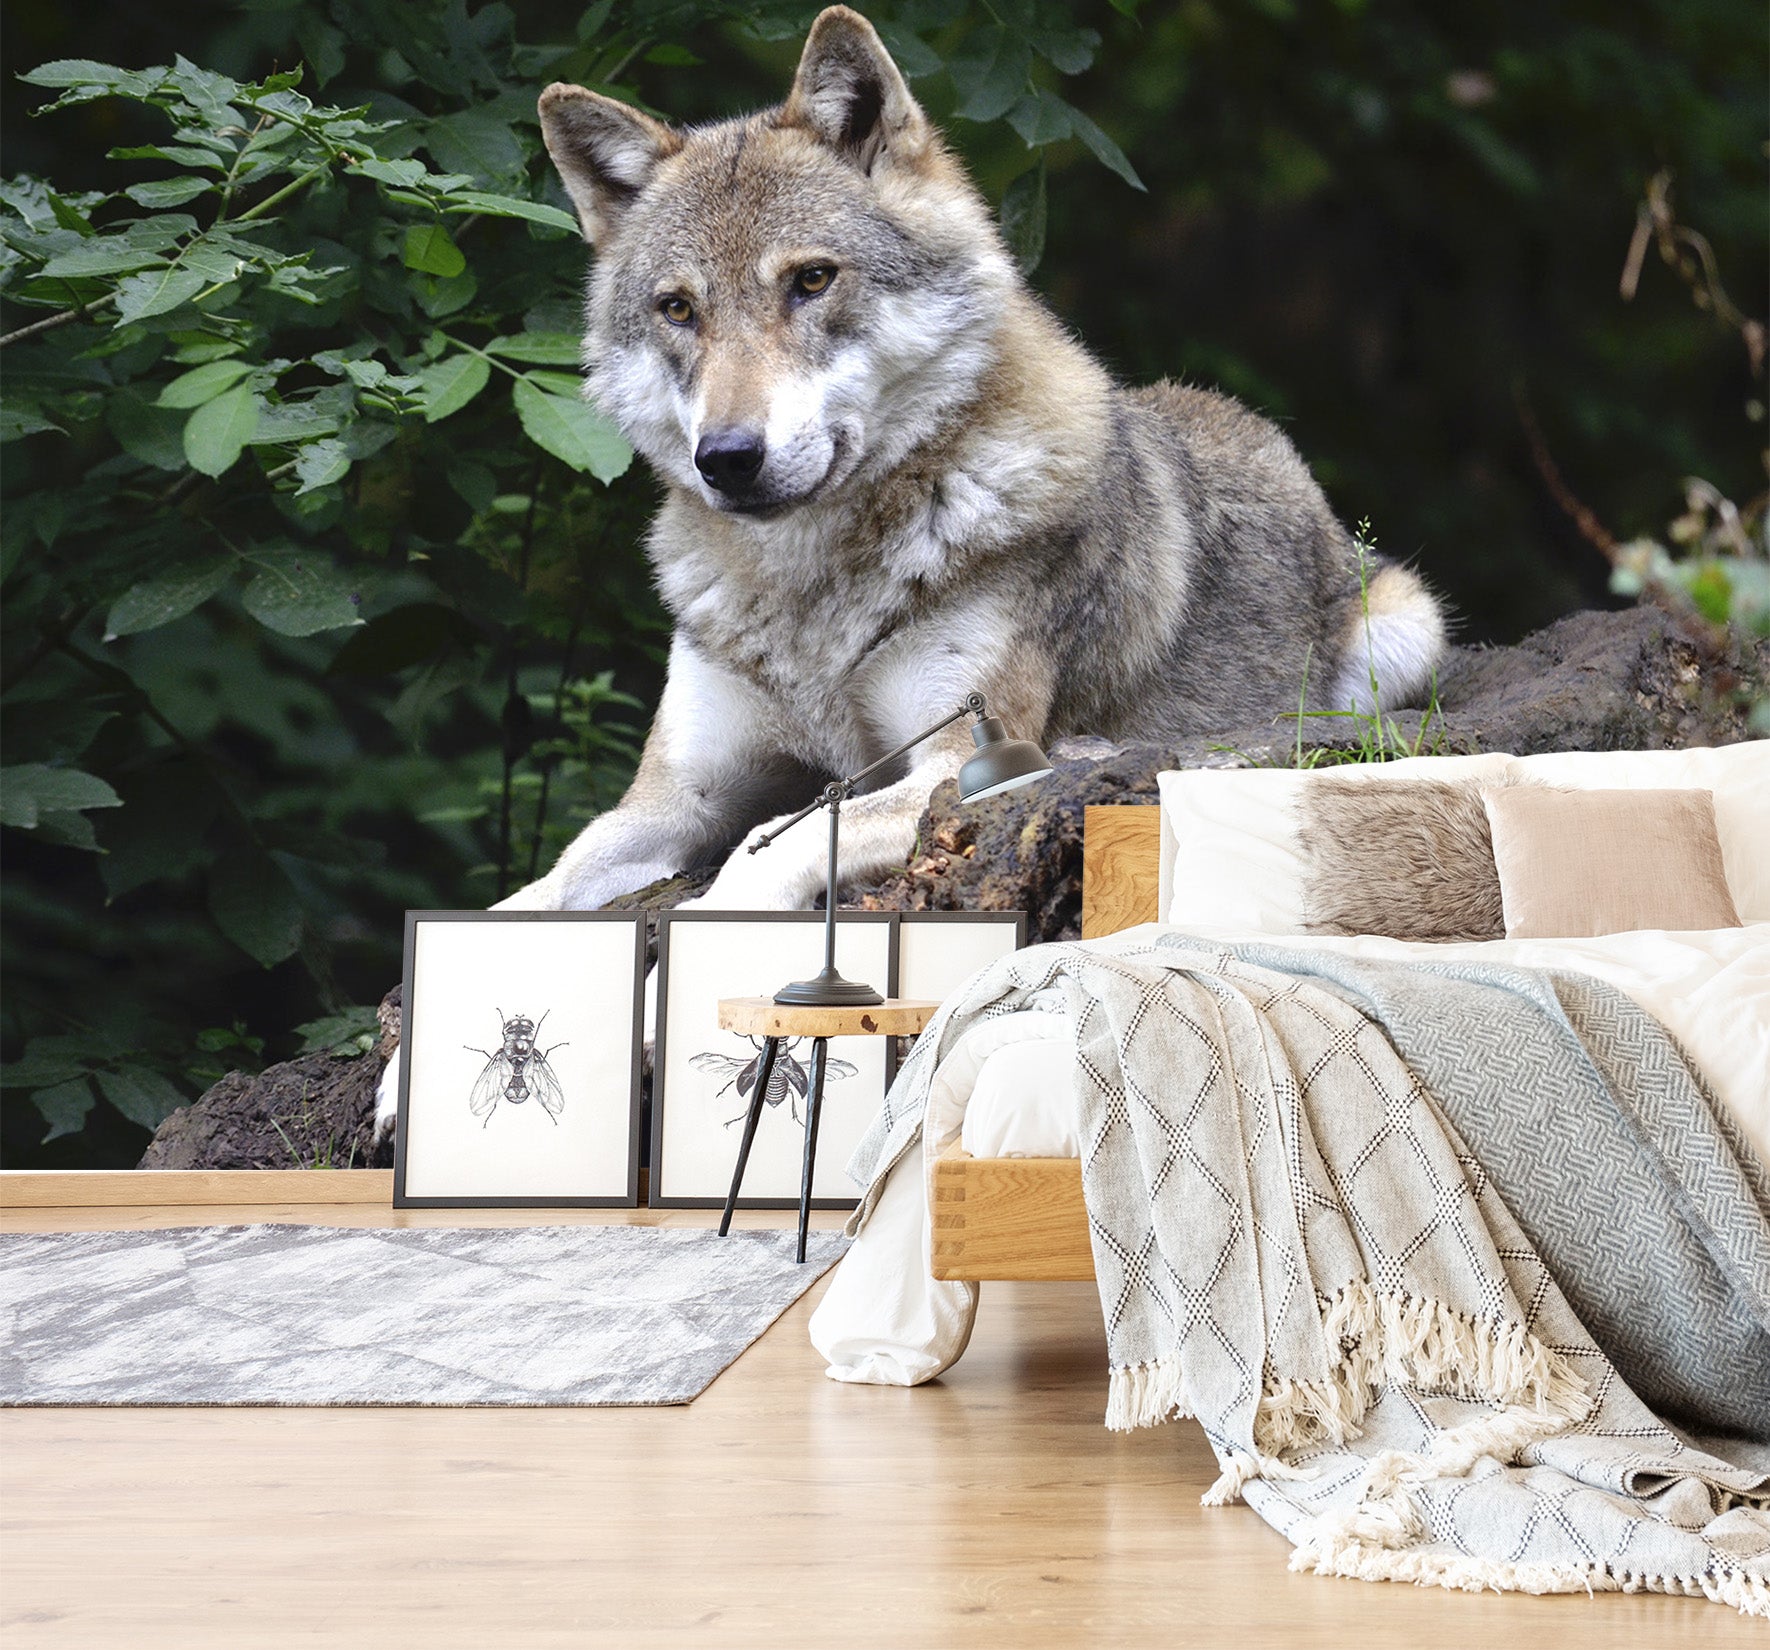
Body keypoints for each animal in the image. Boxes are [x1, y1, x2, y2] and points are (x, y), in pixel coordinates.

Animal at [514, 5, 1447, 916]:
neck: (809, 597)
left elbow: (757, 857)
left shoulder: (954, 760)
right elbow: (542, 886)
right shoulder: (677, 798)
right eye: (678, 310)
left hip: (1406, 636)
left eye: (812, 281)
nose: (729, 459)